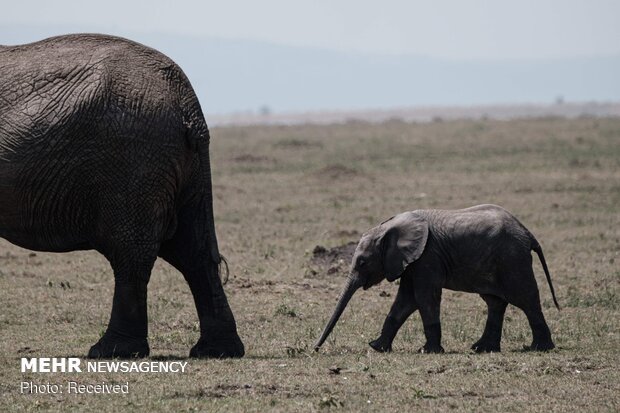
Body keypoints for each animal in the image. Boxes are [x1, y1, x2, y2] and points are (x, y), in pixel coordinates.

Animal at [0, 34, 243, 358]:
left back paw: (112, 350)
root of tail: (187, 104)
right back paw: (217, 351)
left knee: (132, 254)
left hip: (132, 159)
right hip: (186, 167)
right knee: (194, 250)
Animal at [318, 204, 560, 352]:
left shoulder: (427, 258)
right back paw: (481, 349)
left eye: (362, 262)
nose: (315, 348)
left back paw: (538, 348)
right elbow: (405, 301)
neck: (388, 227)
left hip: (512, 259)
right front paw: (377, 347)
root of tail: (527, 232)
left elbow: (424, 298)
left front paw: (427, 351)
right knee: (495, 302)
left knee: (526, 299)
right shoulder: (411, 262)